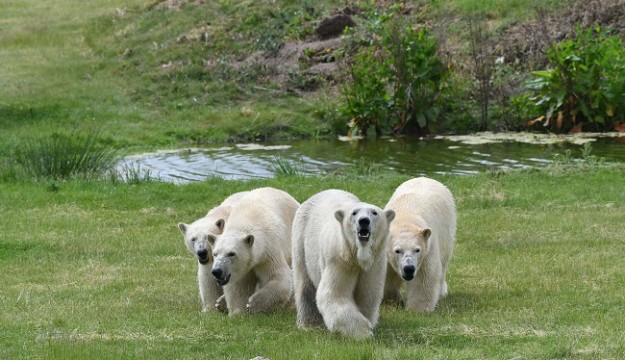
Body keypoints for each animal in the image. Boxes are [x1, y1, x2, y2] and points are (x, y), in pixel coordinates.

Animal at [207, 187, 300, 316]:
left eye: (231, 254)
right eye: (215, 254)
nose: (217, 271)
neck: (247, 220)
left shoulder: (268, 250)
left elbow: (279, 277)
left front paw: (252, 304)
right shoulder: (242, 268)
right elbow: (239, 286)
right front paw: (237, 313)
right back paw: (220, 302)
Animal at [292, 190, 394, 338]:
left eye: (374, 212)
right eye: (354, 213)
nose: (364, 221)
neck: (358, 255)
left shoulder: (375, 263)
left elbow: (368, 294)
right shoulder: (339, 259)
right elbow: (335, 294)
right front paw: (363, 332)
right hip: (301, 238)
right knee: (305, 284)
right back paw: (309, 325)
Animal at [382, 177, 456, 312]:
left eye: (417, 250)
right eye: (397, 250)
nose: (409, 268)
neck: (404, 219)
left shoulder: (428, 248)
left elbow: (424, 276)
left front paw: (418, 309)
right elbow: (387, 274)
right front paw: (391, 301)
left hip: (447, 229)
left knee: (443, 262)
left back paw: (442, 292)